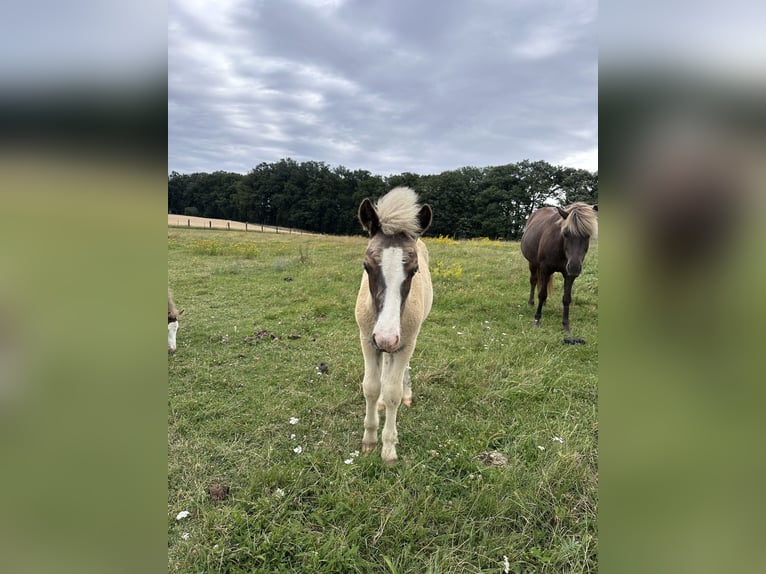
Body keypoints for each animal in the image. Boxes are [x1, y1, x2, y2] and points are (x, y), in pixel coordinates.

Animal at [356, 187, 436, 466]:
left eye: (414, 270)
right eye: (366, 266)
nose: (386, 338)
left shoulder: (404, 342)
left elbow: (393, 392)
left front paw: (389, 449)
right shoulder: (367, 340)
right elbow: (371, 387)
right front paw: (369, 440)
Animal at [520, 205, 600, 336]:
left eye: (587, 235)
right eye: (566, 233)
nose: (574, 267)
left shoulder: (569, 275)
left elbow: (566, 298)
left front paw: (566, 326)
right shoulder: (545, 269)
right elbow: (542, 294)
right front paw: (537, 320)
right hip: (533, 264)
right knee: (534, 281)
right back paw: (531, 303)